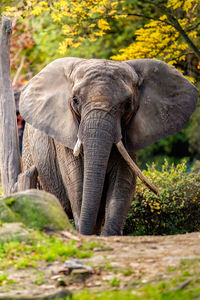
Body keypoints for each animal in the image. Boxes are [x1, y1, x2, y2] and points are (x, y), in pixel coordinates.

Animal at [19, 57, 198, 237]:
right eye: (75, 100)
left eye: (127, 104)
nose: (158, 193)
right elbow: (76, 179)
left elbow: (123, 180)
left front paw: (107, 235)